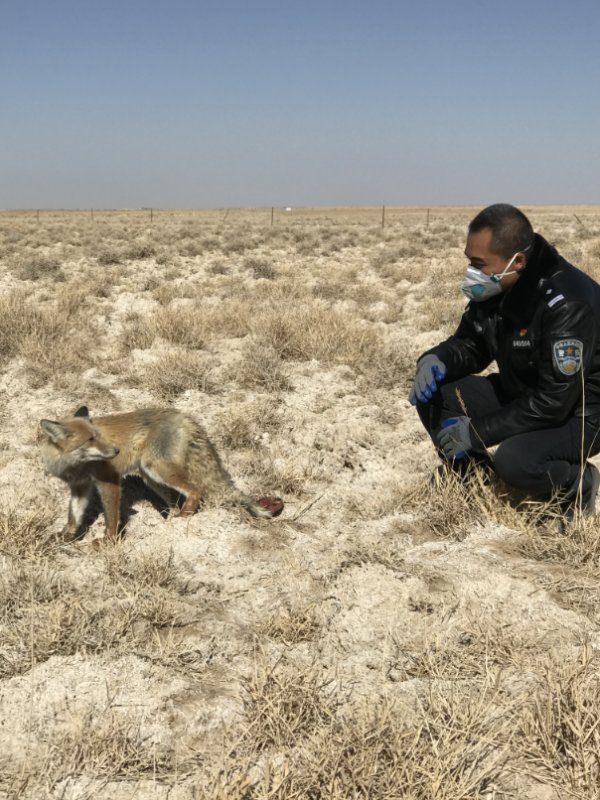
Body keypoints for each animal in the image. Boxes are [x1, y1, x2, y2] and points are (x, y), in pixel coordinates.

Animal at [39, 406, 280, 540]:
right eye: (90, 440)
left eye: (98, 436)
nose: (116, 451)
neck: (75, 464)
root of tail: (182, 415)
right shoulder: (79, 487)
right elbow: (73, 518)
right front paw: (63, 538)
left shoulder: (109, 481)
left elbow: (112, 517)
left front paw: (108, 542)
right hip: (152, 478)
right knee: (174, 501)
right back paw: (170, 523)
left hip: (158, 469)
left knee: (196, 491)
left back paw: (183, 518)